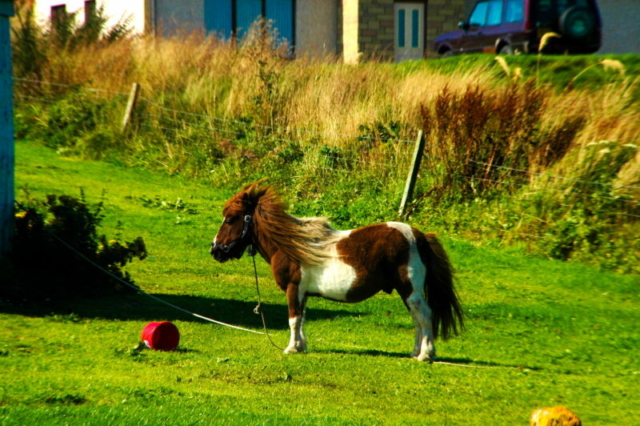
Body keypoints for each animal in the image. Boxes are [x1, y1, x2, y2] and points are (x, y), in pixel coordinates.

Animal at [210, 181, 463, 361]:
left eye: (230, 219)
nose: (215, 250)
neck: (291, 246)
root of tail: (420, 236)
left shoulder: (293, 289)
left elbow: (293, 319)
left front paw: (291, 348)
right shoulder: (303, 293)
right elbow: (302, 319)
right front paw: (301, 346)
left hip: (411, 291)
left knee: (424, 315)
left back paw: (425, 355)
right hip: (407, 292)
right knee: (417, 319)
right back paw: (415, 352)